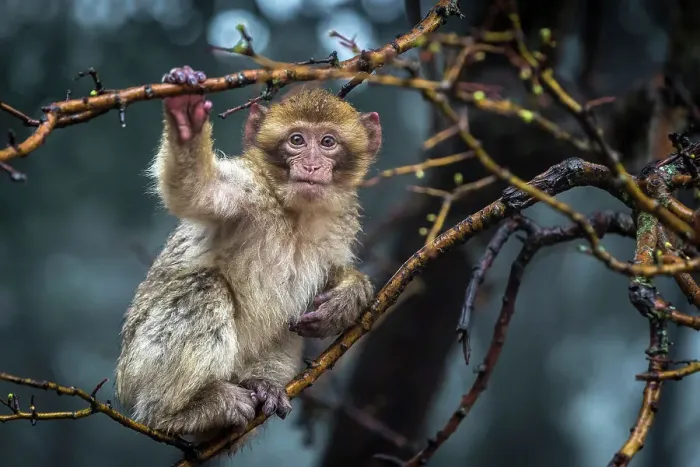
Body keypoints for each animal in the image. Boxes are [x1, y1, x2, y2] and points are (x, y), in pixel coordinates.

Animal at [114, 65, 381, 447]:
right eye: (297, 140)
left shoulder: (338, 221)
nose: (312, 165)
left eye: (328, 142)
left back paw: (260, 384)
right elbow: (197, 190)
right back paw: (173, 413)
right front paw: (185, 119)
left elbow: (331, 273)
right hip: (138, 369)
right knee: (204, 286)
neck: (292, 212)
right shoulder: (246, 190)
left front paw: (348, 297)